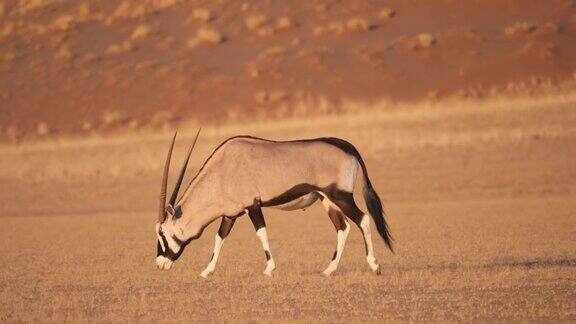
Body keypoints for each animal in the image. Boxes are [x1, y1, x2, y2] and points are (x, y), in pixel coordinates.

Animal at [155, 130, 394, 278]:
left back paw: (374, 265)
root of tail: (348, 146)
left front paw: (269, 268)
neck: (222, 170)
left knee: (363, 219)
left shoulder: (252, 206)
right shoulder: (231, 213)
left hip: (341, 196)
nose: (159, 264)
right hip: (328, 200)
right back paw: (329, 270)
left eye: (163, 234)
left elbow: (261, 232)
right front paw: (207, 271)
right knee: (342, 228)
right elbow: (220, 237)